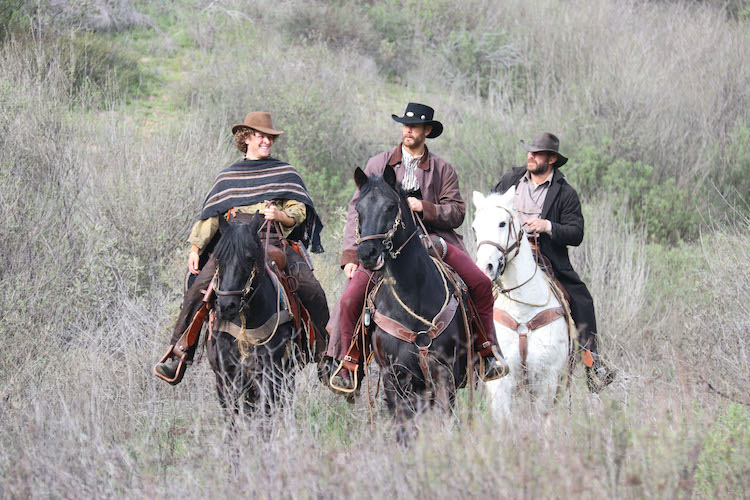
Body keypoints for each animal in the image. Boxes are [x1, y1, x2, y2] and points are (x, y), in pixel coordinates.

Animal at [209, 213, 300, 420]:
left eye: (249, 257)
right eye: (217, 257)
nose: (227, 306)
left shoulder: (270, 372)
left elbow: (265, 413)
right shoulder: (226, 375)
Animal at [354, 165, 470, 430]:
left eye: (390, 206)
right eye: (358, 209)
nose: (367, 254)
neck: (412, 296)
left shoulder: (444, 372)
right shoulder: (394, 377)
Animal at [472, 188, 572, 422]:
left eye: (502, 223)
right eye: (475, 227)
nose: (485, 268)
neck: (523, 314)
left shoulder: (546, 380)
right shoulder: (501, 382)